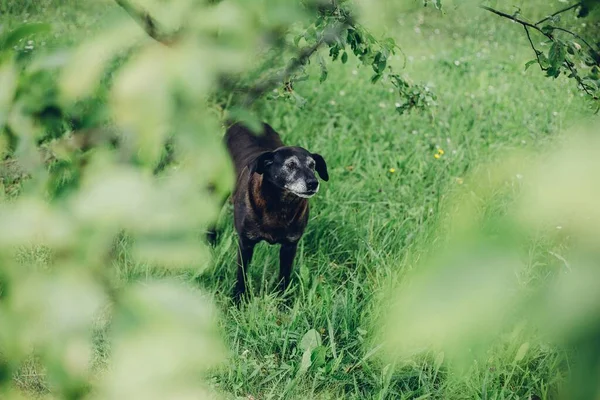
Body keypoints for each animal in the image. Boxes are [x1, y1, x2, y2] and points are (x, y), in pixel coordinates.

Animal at [217, 122, 328, 304]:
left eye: (312, 165)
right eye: (290, 165)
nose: (313, 183)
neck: (279, 205)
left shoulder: (290, 246)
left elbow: (284, 277)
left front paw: (283, 303)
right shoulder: (245, 243)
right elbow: (242, 276)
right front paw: (239, 300)